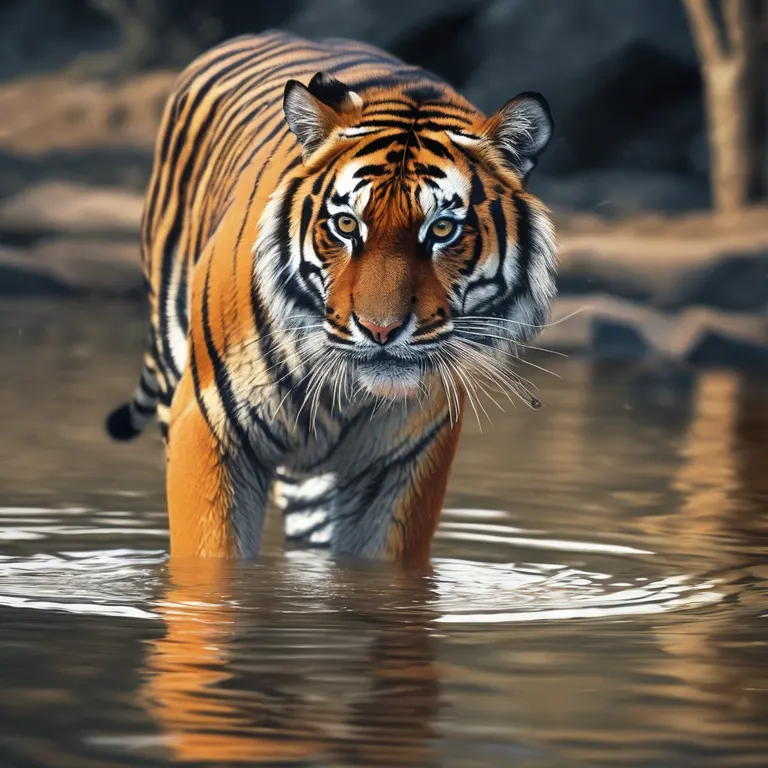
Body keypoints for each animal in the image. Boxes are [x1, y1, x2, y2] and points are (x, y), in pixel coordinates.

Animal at [105, 30, 558, 568]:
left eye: (442, 229)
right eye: (346, 224)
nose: (381, 330)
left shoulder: (403, 462)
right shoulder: (210, 426)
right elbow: (211, 563)